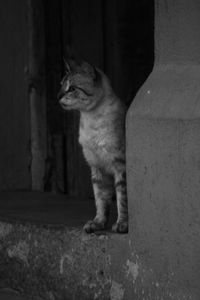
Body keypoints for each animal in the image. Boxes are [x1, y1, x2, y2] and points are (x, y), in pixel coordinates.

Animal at [57, 58, 128, 232]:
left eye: (72, 88)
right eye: (61, 85)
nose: (58, 96)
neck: (91, 117)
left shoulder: (120, 166)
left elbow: (121, 199)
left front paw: (122, 225)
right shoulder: (97, 167)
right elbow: (100, 200)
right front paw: (97, 224)